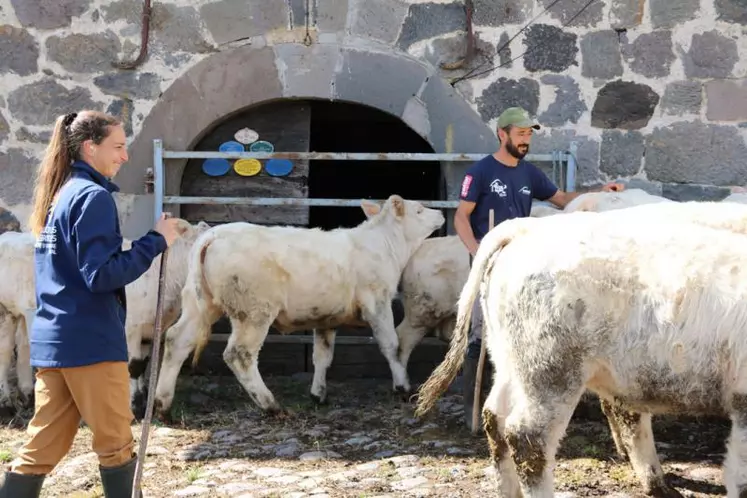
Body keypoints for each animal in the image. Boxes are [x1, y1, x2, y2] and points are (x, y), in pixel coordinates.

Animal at [0, 220, 209, 418]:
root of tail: (7, 236)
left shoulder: (148, 328)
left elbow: (142, 364)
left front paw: (141, 402)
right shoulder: (131, 327)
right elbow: (133, 366)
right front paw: (134, 407)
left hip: (19, 312)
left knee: (22, 346)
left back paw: (27, 396)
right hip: (6, 311)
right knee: (5, 352)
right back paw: (7, 405)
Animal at [151, 195, 444, 420]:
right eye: (419, 209)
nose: (441, 213)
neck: (384, 245)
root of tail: (212, 236)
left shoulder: (326, 316)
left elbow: (322, 355)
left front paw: (318, 394)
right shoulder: (377, 302)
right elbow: (391, 345)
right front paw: (403, 386)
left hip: (200, 303)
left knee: (177, 340)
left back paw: (163, 405)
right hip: (254, 311)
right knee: (239, 354)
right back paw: (271, 405)